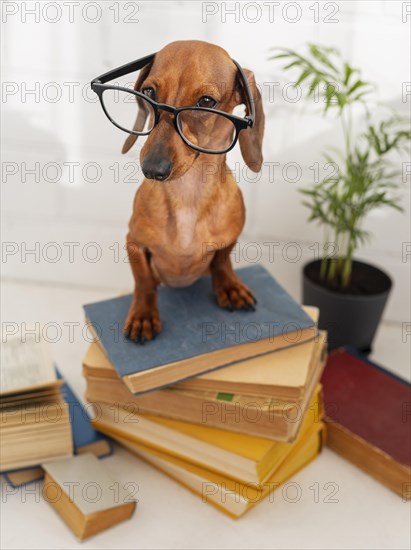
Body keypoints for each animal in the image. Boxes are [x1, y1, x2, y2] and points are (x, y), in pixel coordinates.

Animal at [120, 40, 266, 340]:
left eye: (206, 102)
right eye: (149, 92)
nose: (153, 169)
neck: (187, 195)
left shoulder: (229, 239)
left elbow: (222, 261)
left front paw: (229, 286)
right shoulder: (134, 243)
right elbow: (144, 281)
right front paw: (143, 314)